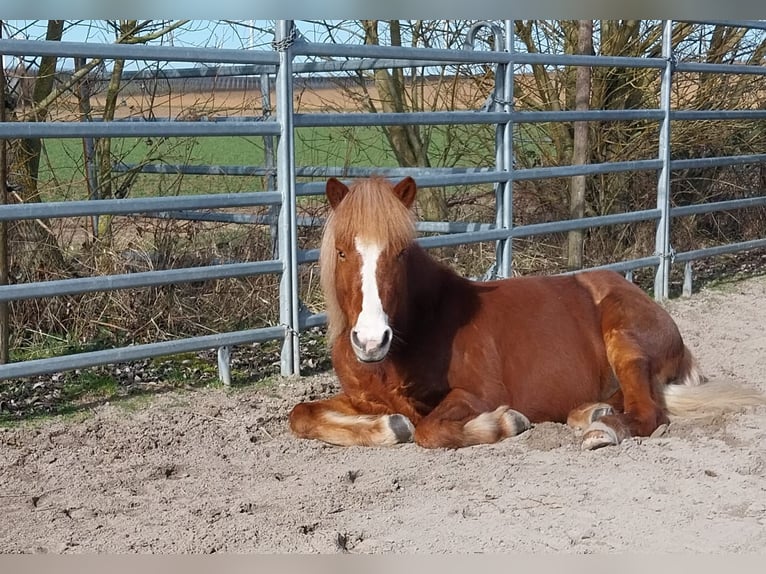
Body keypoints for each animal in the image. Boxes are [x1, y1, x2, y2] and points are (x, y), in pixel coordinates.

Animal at [289, 176, 766, 449]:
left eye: (399, 252)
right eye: (342, 251)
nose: (371, 341)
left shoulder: (477, 393)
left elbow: (429, 431)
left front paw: (504, 424)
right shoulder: (360, 399)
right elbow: (301, 415)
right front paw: (389, 427)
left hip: (625, 339)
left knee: (648, 411)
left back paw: (603, 430)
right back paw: (591, 413)